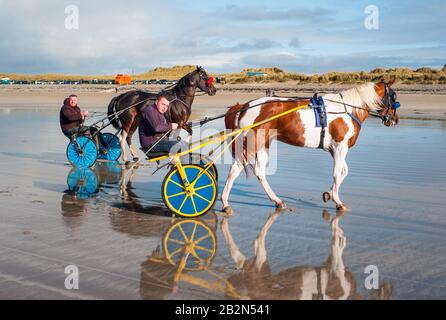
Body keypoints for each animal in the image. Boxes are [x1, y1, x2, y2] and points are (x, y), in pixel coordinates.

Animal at [223, 80, 400, 211]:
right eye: (393, 96)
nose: (394, 120)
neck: (346, 110)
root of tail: (245, 105)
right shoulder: (340, 147)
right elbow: (337, 174)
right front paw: (337, 201)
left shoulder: (334, 150)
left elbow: (344, 171)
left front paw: (329, 194)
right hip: (252, 145)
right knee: (236, 169)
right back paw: (225, 202)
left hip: (263, 144)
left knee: (259, 172)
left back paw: (276, 200)